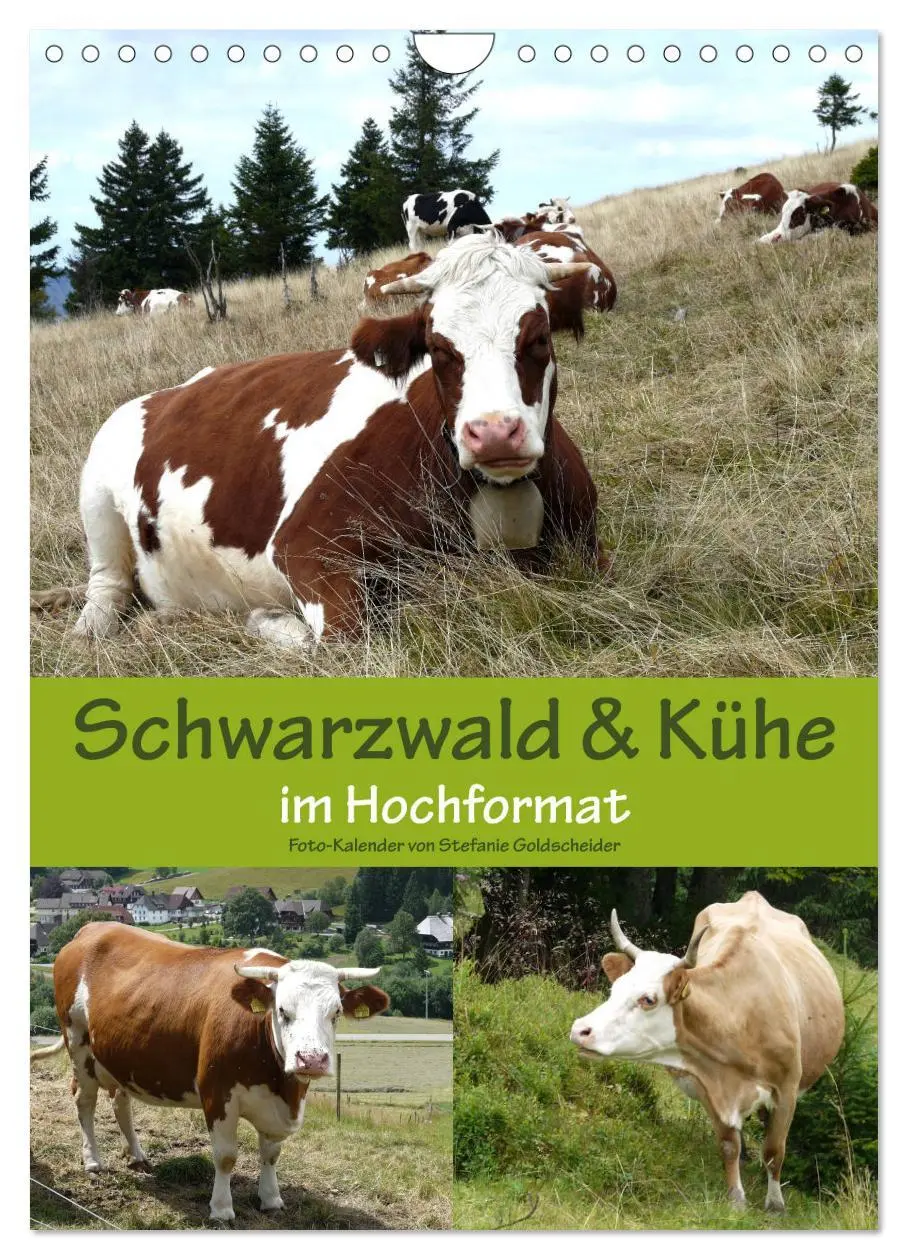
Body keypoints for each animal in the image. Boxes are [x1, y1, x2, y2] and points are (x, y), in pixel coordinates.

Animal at [30, 922, 389, 1222]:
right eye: (282, 1010)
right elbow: (227, 1156)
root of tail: (90, 928)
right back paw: (93, 1159)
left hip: (120, 1057)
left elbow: (271, 1153)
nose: (311, 1060)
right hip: (79, 1044)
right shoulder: (217, 1093)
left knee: (121, 1102)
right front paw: (221, 1208)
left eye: (336, 1012)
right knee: (85, 1101)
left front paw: (271, 1199)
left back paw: (137, 1155)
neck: (281, 1086)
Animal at [72, 234, 604, 647]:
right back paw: (93, 630)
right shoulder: (306, 545)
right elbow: (342, 638)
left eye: (539, 338)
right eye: (437, 348)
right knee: (106, 587)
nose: (494, 432)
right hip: (96, 494)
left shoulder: (590, 546)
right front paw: (267, 619)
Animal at [570, 892, 844, 1213]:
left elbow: (775, 1150)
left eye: (648, 999)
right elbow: (728, 1145)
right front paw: (736, 1198)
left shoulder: (787, 1089)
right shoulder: (708, 1083)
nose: (580, 1029)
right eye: (616, 988)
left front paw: (775, 1203)